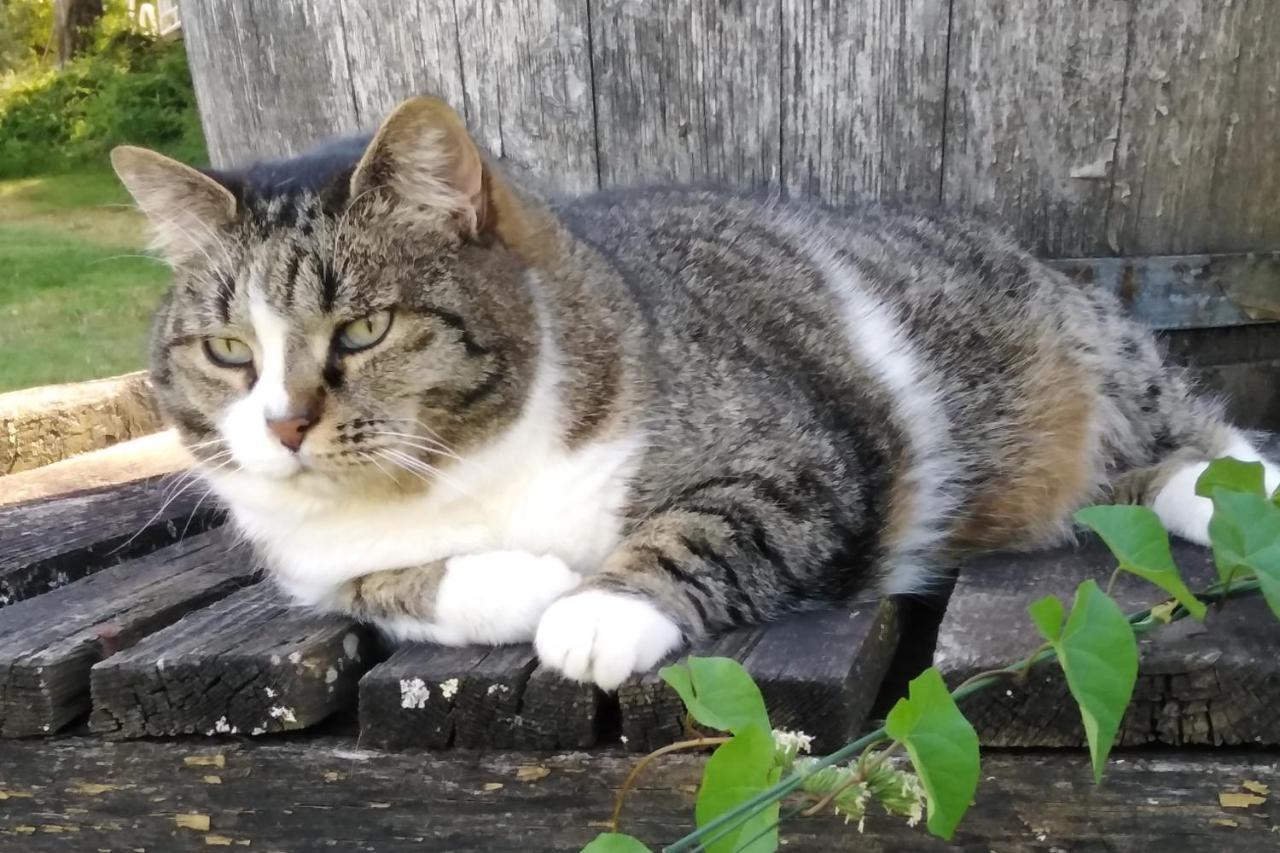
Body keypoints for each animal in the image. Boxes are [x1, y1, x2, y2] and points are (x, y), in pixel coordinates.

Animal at [115, 96, 1274, 686]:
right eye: (229, 348)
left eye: (361, 328)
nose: (284, 424)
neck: (457, 478)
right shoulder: (310, 565)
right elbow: (384, 585)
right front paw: (528, 582)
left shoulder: (798, 460)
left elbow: (705, 526)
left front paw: (597, 607)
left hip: (1106, 367)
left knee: (1197, 437)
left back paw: (1243, 495)